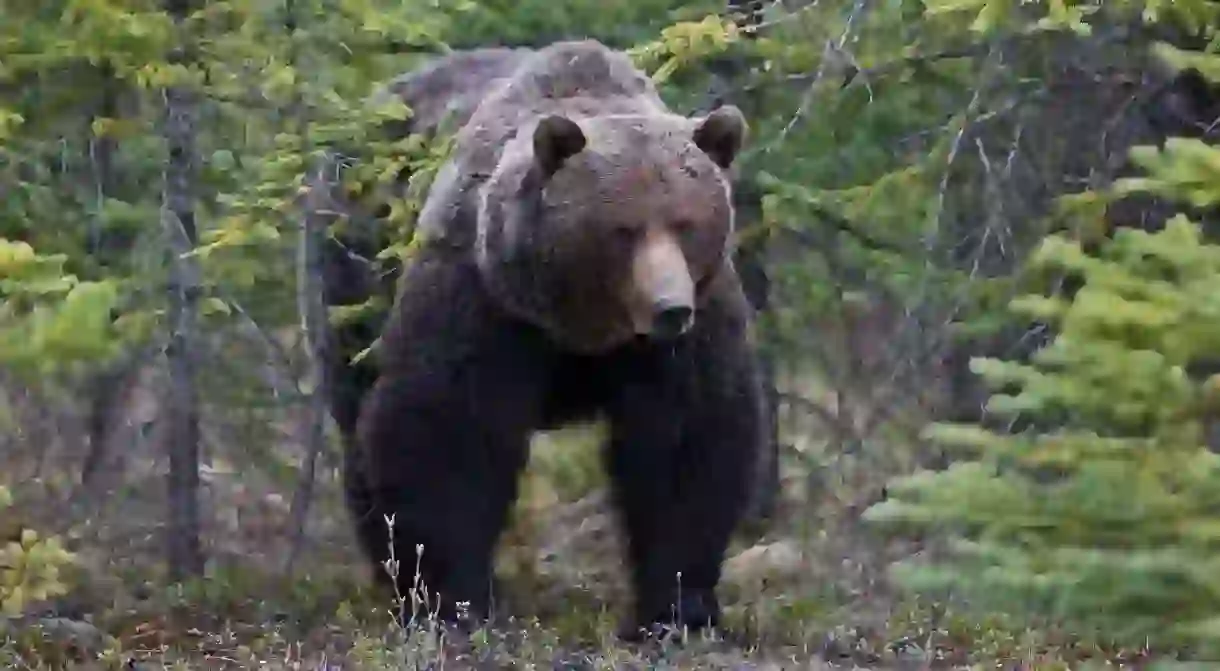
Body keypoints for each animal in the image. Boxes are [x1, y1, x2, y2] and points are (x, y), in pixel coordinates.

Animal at [324, 40, 761, 644]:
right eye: (623, 229)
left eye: (687, 223)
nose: (670, 307)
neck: (579, 325)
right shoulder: (483, 295)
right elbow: (446, 427)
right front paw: (454, 601)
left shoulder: (689, 326)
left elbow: (687, 439)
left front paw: (679, 611)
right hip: (353, 264)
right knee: (356, 412)